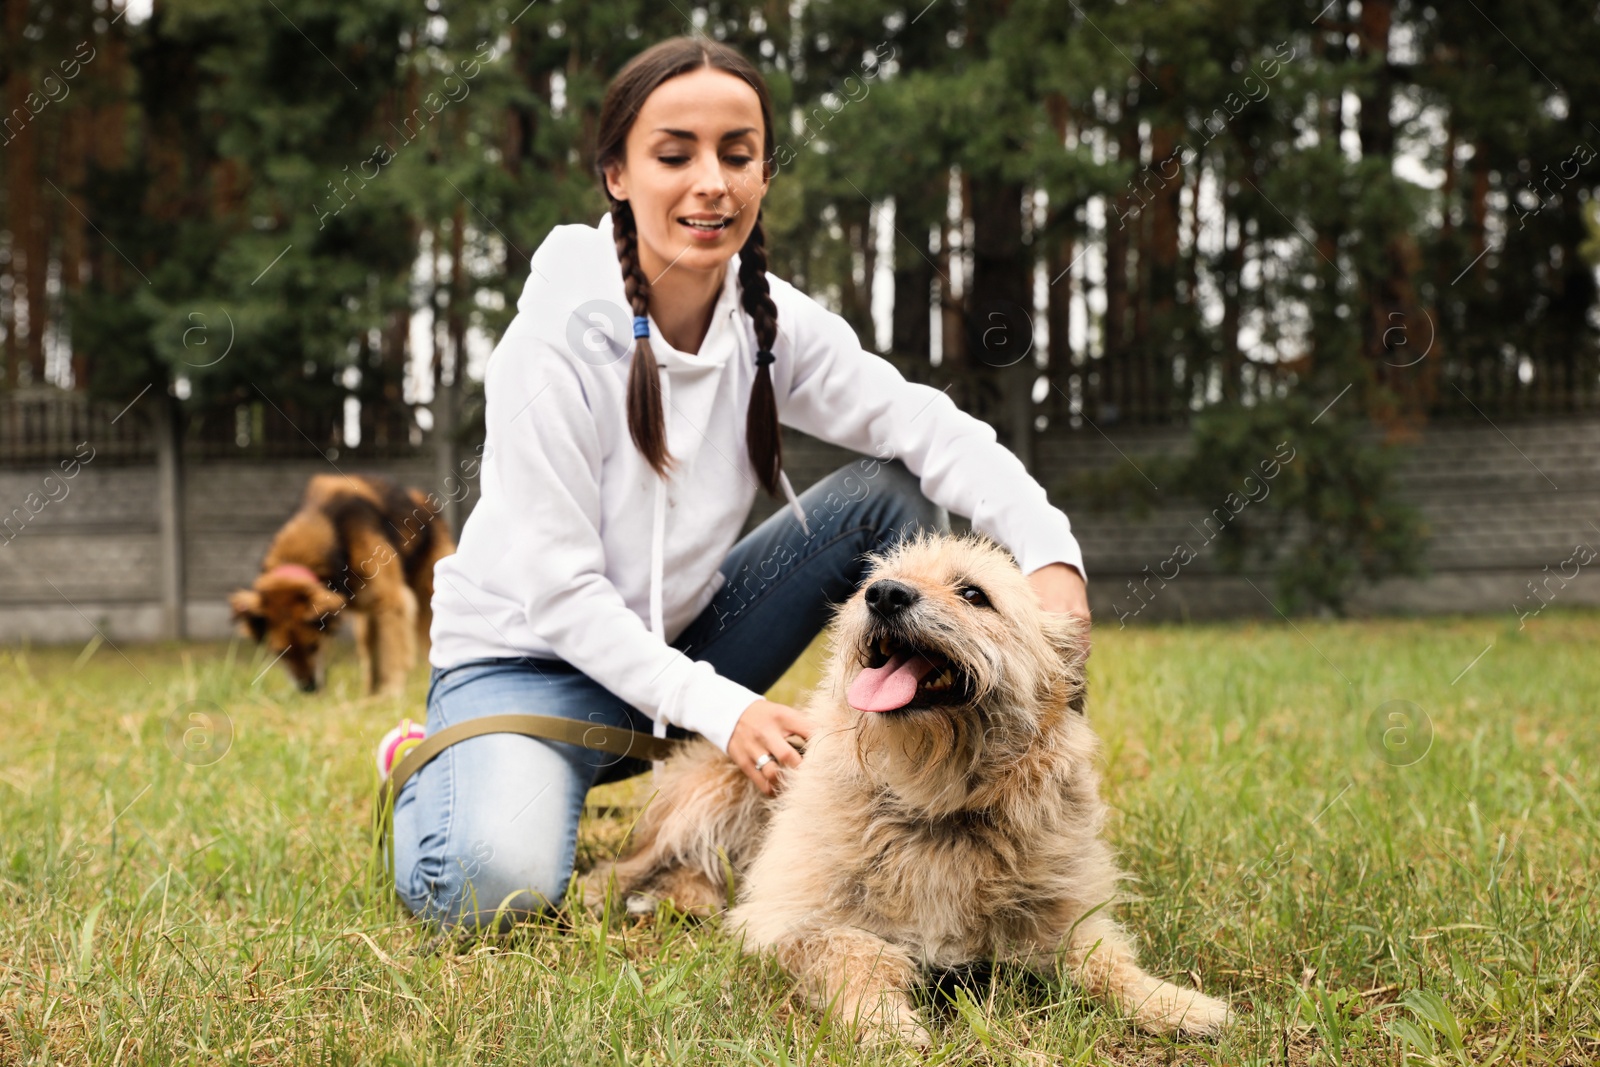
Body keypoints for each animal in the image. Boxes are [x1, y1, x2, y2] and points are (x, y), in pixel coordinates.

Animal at [225, 473, 454, 694]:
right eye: (281, 653)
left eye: (313, 646)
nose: (308, 689)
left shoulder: (392, 601)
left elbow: (393, 653)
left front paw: (390, 694)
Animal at [588, 531, 1235, 1049]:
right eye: (870, 585)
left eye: (974, 594)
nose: (883, 595)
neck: (934, 801)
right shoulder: (787, 918)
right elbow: (852, 951)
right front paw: (881, 1020)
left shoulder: (1064, 918)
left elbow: (1104, 961)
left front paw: (1174, 1003)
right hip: (716, 791)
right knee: (642, 860)